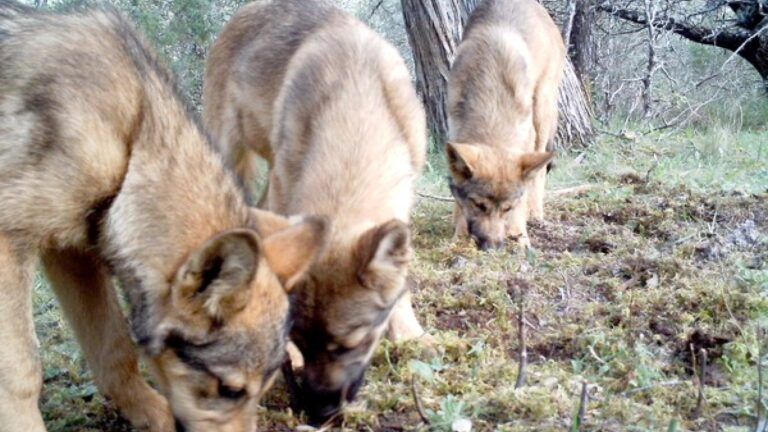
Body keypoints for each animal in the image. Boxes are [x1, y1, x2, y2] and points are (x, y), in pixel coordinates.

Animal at [0, 3, 327, 431]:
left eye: (264, 390)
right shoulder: (10, 240)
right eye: (229, 390)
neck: (133, 140)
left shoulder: (73, 251)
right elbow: (21, 374)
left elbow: (115, 350)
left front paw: (152, 415)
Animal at [204, 0, 429, 425]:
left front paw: (408, 333)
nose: (319, 413)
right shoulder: (284, 185)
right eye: (298, 341)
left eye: (351, 345)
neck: (355, 108)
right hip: (237, 158)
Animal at [446, 0, 564, 250]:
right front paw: (459, 237)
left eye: (507, 208)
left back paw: (535, 214)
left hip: (541, 111)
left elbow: (523, 194)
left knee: (539, 172)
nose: (493, 247)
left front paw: (520, 237)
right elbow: (458, 196)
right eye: (479, 205)